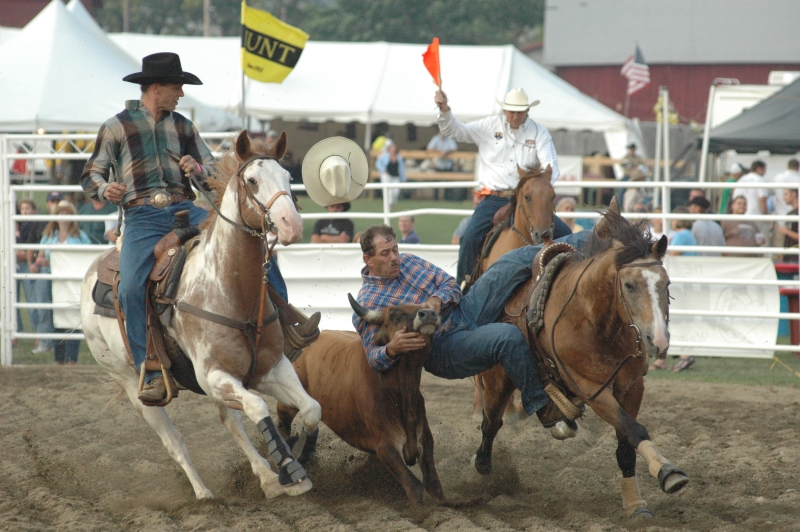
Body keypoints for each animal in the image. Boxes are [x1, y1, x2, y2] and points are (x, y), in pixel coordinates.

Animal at [79, 131, 320, 500]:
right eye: (252, 180)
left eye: (288, 178)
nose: (290, 225)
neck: (231, 290)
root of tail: (94, 267)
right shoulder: (213, 376)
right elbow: (258, 407)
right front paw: (290, 469)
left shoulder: (270, 368)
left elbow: (310, 409)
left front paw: (298, 458)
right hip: (131, 384)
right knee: (175, 441)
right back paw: (203, 493)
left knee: (231, 422)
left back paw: (265, 477)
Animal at [476, 197, 688, 516]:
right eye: (629, 285)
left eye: (667, 284)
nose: (659, 341)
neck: (595, 320)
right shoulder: (593, 390)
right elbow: (634, 429)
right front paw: (668, 473)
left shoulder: (631, 388)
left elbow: (626, 444)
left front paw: (635, 503)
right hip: (497, 381)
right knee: (491, 423)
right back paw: (484, 472)